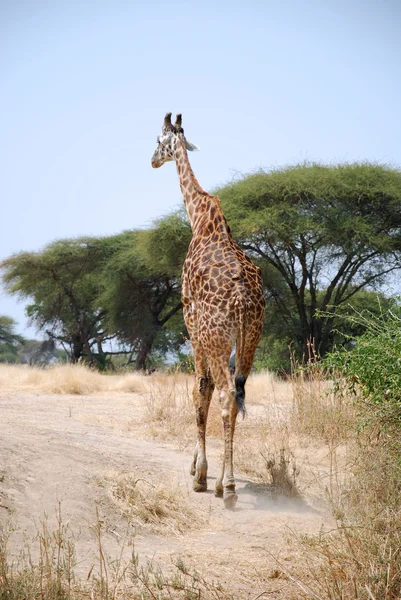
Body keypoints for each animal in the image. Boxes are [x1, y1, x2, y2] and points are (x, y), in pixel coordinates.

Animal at [152, 112, 264, 506]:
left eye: (158, 140)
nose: (151, 161)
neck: (199, 217)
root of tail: (243, 299)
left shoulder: (191, 324)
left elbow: (199, 391)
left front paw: (199, 473)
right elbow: (205, 389)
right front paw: (197, 467)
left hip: (217, 338)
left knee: (226, 395)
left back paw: (224, 486)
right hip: (250, 340)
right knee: (238, 391)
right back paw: (224, 482)